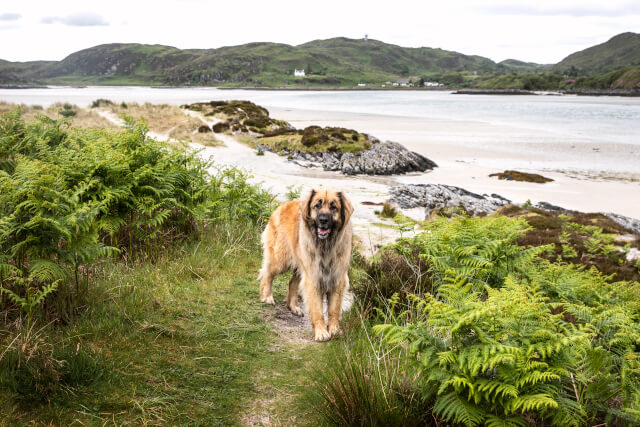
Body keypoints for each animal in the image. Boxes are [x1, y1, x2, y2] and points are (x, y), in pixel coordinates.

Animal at [258, 189, 352, 342]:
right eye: (317, 205)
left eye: (334, 207)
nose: (323, 220)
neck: (325, 246)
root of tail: (282, 205)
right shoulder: (313, 278)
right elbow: (318, 309)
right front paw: (321, 332)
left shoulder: (337, 279)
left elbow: (334, 309)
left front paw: (334, 330)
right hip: (280, 260)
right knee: (267, 274)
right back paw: (267, 297)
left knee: (292, 282)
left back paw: (294, 307)